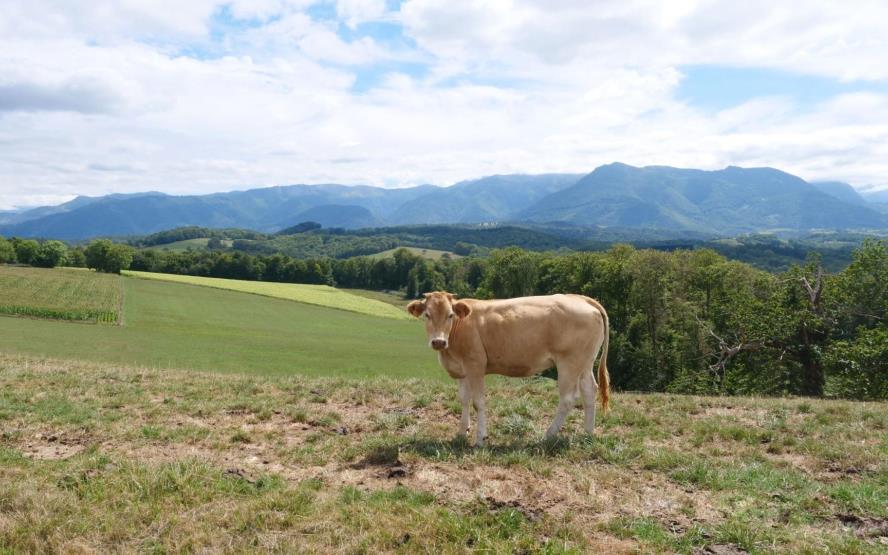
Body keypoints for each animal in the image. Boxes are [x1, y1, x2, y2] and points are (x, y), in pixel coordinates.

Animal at [410, 292, 612, 448]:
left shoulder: (475, 366)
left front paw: (480, 439)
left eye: (450, 315)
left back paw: (547, 436)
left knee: (568, 398)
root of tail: (580, 298)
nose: (438, 342)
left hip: (569, 362)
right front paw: (461, 432)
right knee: (589, 390)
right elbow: (464, 400)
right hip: (585, 363)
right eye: (427, 315)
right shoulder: (461, 369)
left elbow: (478, 402)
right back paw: (587, 433)